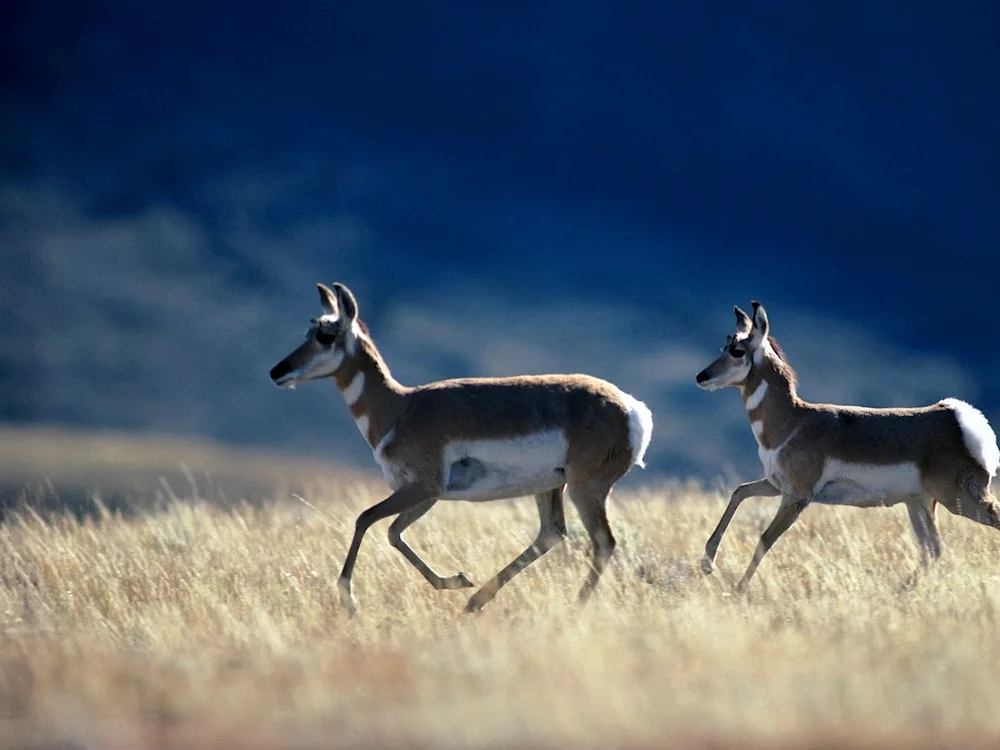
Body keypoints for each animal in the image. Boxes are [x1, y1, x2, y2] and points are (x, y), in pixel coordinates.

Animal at [268, 282, 656, 616]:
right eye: (308, 332)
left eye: (325, 335)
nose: (277, 371)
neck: (400, 406)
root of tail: (631, 406)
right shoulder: (426, 495)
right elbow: (393, 532)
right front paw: (456, 580)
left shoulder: (422, 488)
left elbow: (365, 518)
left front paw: (349, 601)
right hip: (550, 487)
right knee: (551, 534)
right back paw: (475, 601)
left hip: (583, 488)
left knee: (603, 541)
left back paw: (574, 608)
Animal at [696, 302, 1000, 592]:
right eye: (724, 345)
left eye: (737, 350)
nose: (701, 376)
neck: (793, 420)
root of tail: (952, 415)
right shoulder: (776, 485)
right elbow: (739, 491)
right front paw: (707, 564)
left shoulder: (797, 497)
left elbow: (764, 539)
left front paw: (738, 590)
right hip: (920, 502)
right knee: (933, 549)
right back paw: (900, 590)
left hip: (959, 500)